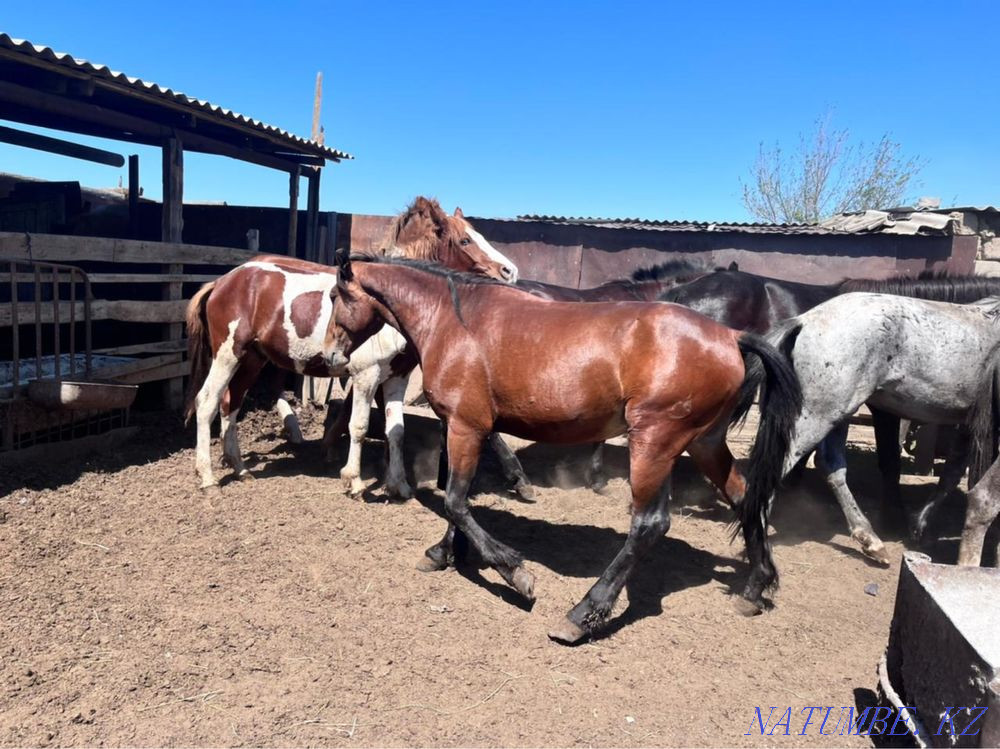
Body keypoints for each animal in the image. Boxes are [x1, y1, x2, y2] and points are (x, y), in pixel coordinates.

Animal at [184, 197, 519, 492]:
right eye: (465, 240)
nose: (510, 272)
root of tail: (224, 281)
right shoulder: (366, 374)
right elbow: (358, 425)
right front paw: (354, 481)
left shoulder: (397, 376)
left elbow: (396, 430)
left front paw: (399, 486)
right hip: (227, 355)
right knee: (207, 402)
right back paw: (208, 477)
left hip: (252, 358)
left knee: (231, 403)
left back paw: (239, 468)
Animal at [327, 253, 802, 643]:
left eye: (335, 295)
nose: (332, 356)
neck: (456, 320)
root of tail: (731, 337)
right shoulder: (468, 428)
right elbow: (457, 499)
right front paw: (443, 553)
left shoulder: (465, 426)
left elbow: (456, 502)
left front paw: (514, 573)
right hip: (703, 442)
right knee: (745, 496)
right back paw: (755, 589)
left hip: (654, 443)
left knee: (649, 525)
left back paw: (581, 615)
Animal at [764, 293, 1000, 566]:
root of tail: (805, 320)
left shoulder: (968, 424)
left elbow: (952, 473)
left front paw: (919, 528)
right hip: (819, 415)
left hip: (837, 413)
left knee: (830, 465)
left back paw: (871, 541)